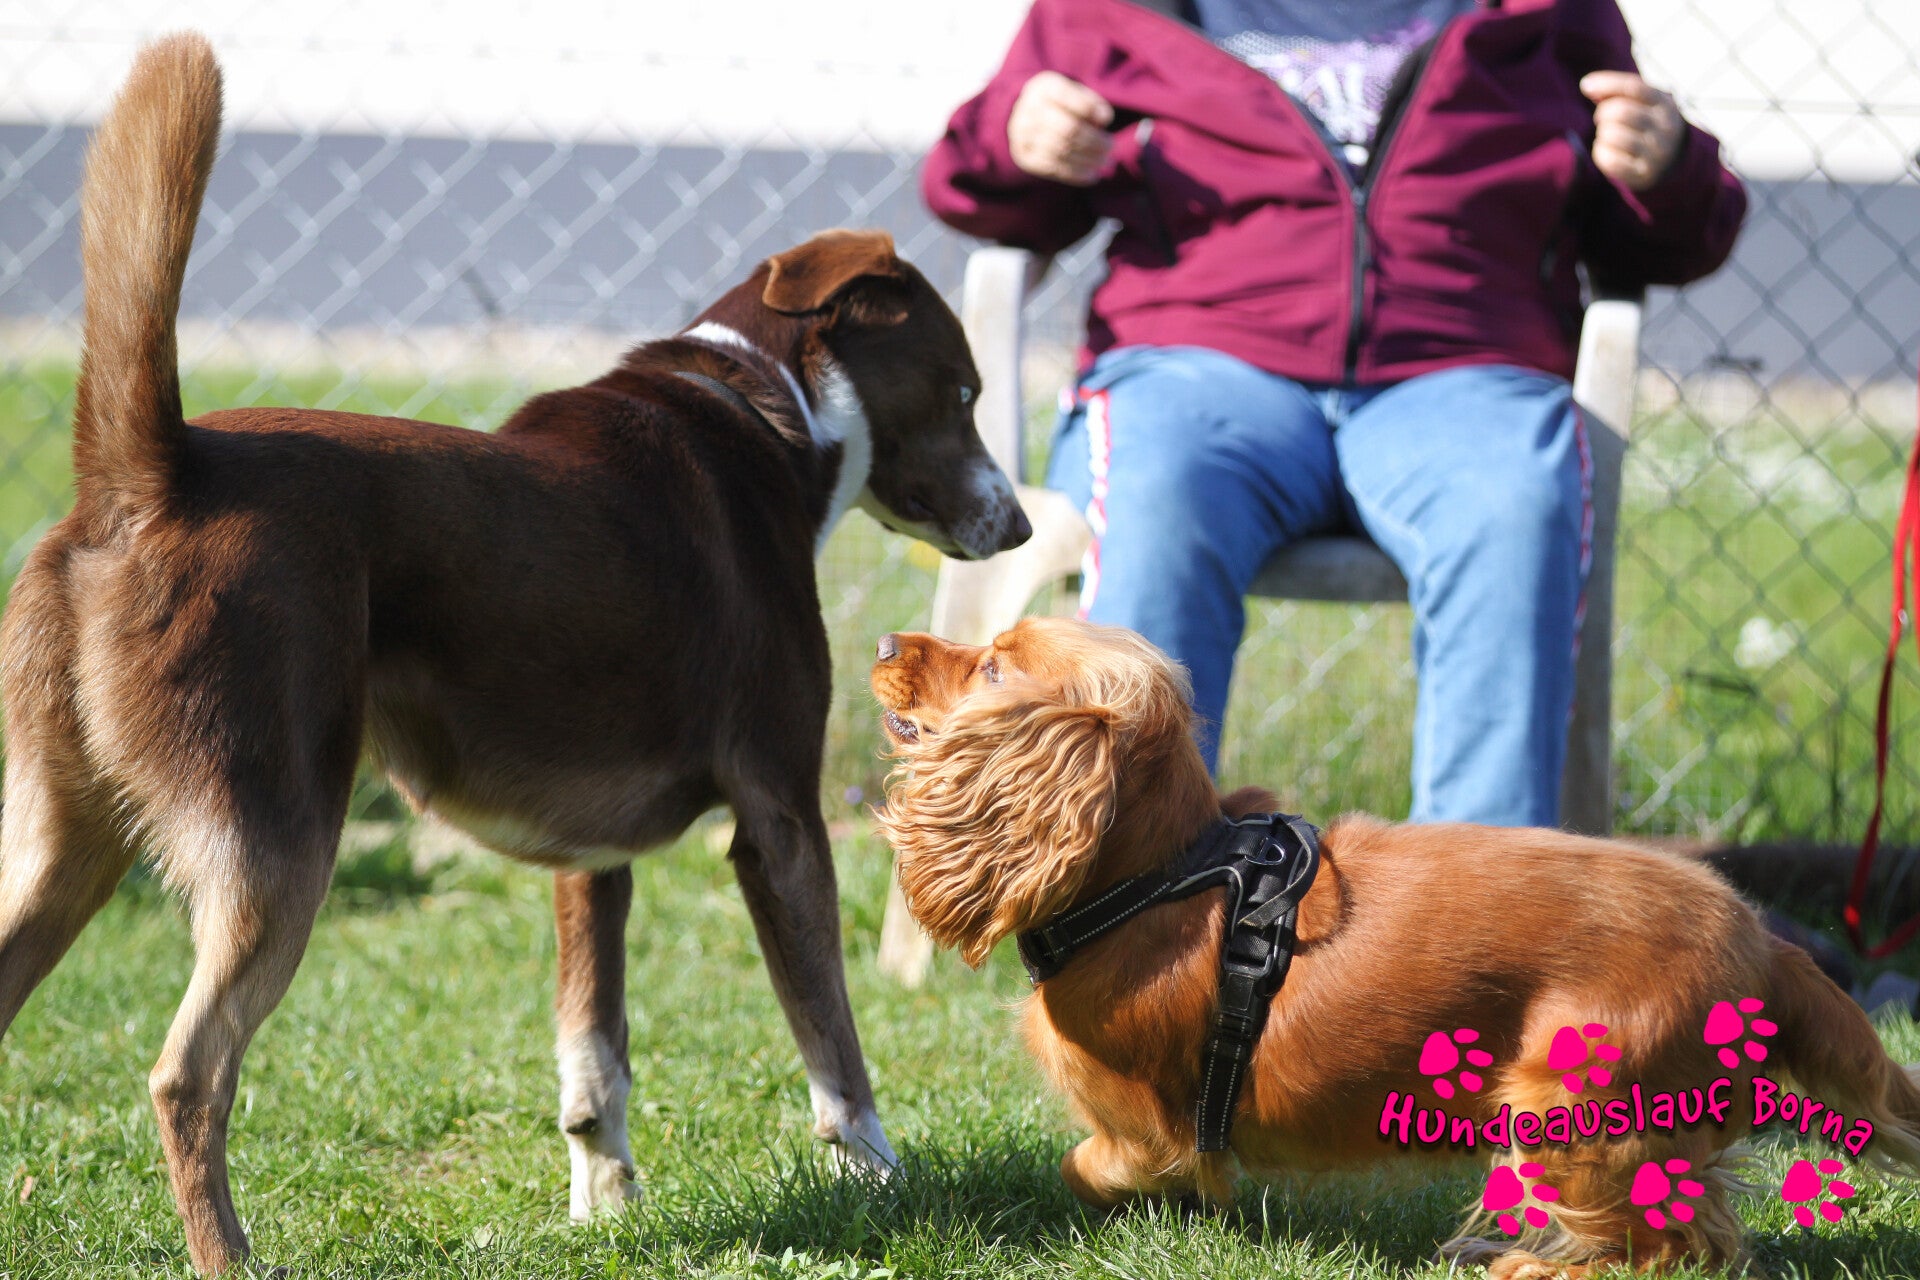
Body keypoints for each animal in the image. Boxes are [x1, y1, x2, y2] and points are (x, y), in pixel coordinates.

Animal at [0, 34, 1030, 1276]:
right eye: (965, 389)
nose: (1022, 525)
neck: (766, 408)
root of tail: (146, 475)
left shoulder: (591, 853)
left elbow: (596, 1056)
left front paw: (607, 1209)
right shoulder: (780, 817)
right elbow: (832, 1037)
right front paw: (876, 1174)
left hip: (63, 840)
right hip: (274, 844)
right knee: (187, 1074)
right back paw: (230, 1255)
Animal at [870, 616, 1920, 1277]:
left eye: (996, 667)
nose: (882, 643)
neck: (1166, 870)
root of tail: (1767, 947)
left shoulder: (1147, 1128)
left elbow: (1092, 1167)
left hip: (1573, 1104)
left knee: (1685, 1246)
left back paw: (1539, 1266)